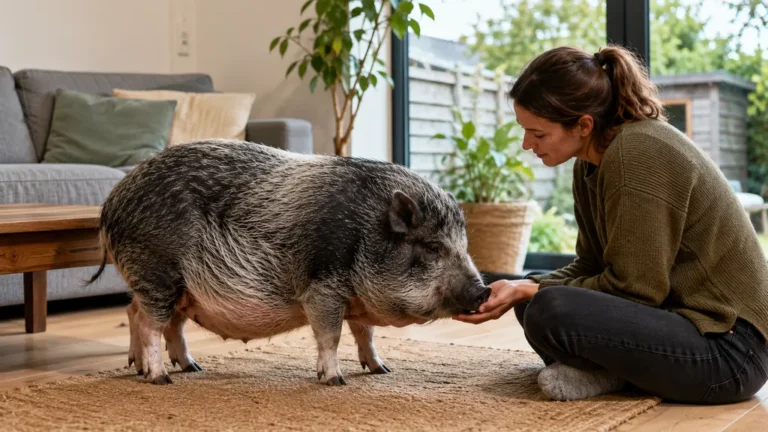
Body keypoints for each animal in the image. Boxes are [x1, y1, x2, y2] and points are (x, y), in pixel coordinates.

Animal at [87, 139, 491, 386]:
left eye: (463, 244)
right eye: (433, 247)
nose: (484, 290)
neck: (363, 235)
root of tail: (110, 204)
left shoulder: (356, 299)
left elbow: (366, 334)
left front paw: (381, 370)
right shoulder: (322, 289)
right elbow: (331, 335)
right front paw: (335, 380)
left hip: (180, 288)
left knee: (143, 315)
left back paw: (184, 367)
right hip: (156, 271)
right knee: (149, 323)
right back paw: (159, 377)